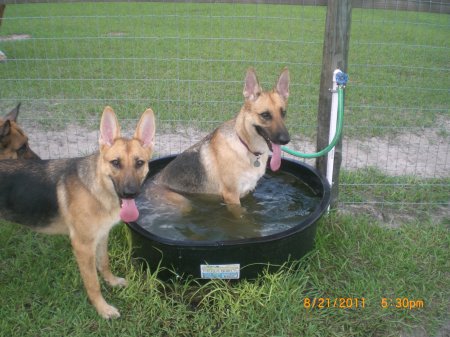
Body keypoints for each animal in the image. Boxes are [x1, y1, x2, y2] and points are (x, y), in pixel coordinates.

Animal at [0, 106, 156, 318]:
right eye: (115, 163)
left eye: (139, 163)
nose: (130, 193)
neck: (97, 189)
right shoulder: (83, 246)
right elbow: (93, 283)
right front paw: (103, 308)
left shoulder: (102, 236)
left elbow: (104, 263)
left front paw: (112, 281)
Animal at [146, 67, 290, 215]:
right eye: (265, 115)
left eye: (283, 113)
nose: (286, 140)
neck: (245, 146)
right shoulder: (232, 197)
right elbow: (242, 217)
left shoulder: (248, 191)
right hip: (184, 204)